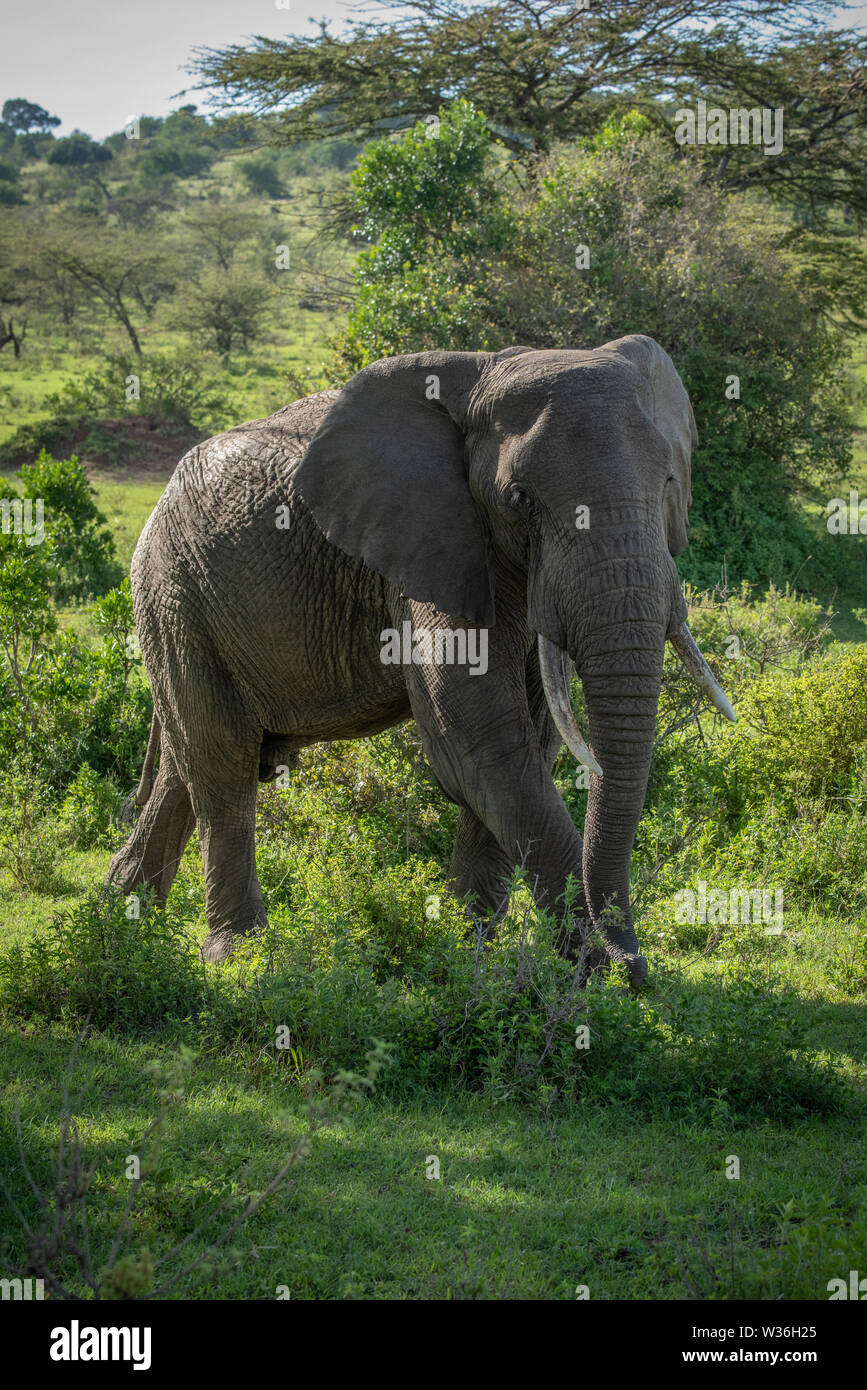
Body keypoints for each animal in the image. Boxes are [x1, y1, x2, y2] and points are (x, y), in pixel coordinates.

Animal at [108, 333, 734, 986]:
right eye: (520, 500)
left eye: (669, 482)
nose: (632, 961)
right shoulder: (426, 539)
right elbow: (473, 731)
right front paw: (599, 973)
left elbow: (530, 734)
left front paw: (467, 953)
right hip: (174, 591)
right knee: (221, 761)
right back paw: (240, 959)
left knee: (187, 764)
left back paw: (122, 921)